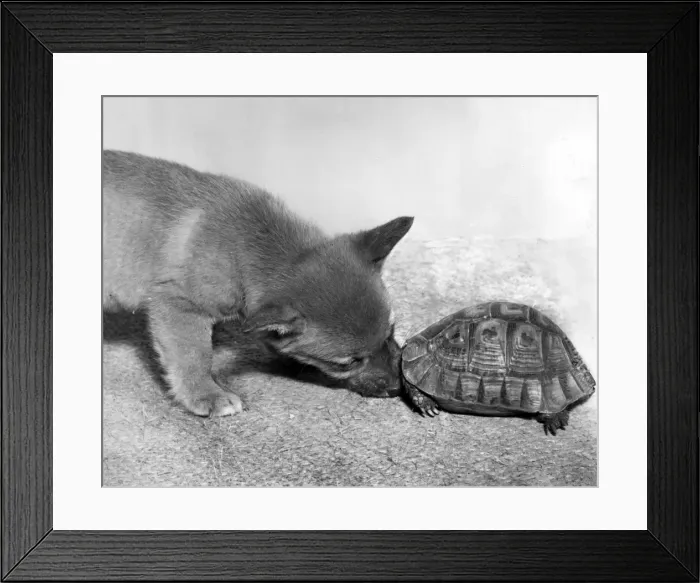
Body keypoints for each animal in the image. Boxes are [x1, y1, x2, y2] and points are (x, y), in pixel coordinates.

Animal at [102, 150, 413, 417]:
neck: (246, 246)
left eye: (390, 332)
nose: (398, 387)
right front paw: (207, 394)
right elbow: (194, 357)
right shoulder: (180, 307)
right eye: (348, 362)